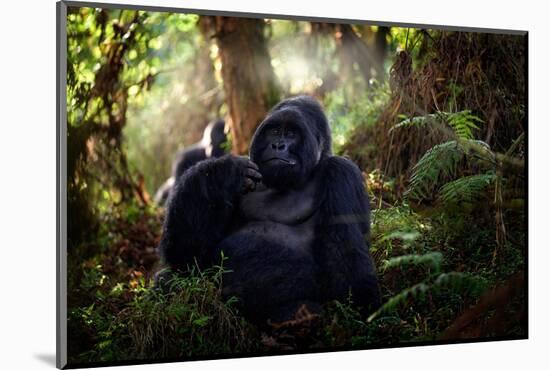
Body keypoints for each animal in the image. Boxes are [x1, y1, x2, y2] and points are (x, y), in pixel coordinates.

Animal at [155, 96, 380, 324]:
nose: (278, 145)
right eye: (274, 131)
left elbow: (345, 258)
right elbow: (186, 255)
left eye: (291, 134)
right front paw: (224, 172)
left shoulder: (342, 172)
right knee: (174, 278)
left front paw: (359, 312)